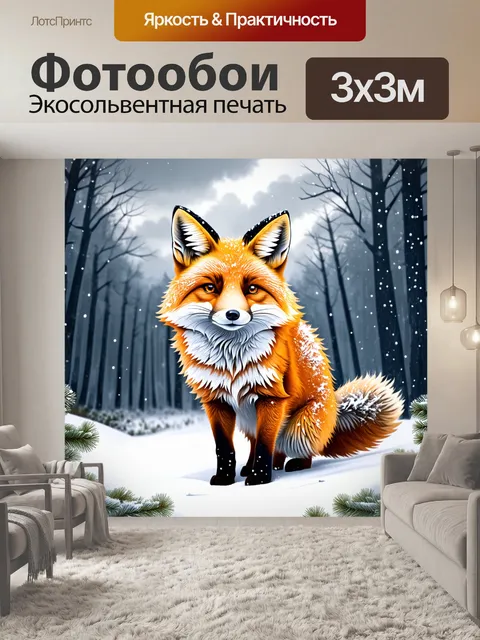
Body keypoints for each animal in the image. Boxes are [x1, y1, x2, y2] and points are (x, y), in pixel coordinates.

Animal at [159, 206, 403, 486]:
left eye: (252, 288)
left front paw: (259, 479)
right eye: (210, 287)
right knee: (261, 445)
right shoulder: (215, 400)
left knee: (289, 448)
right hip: (248, 420)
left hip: (298, 426)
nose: (232, 314)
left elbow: (266, 444)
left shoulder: (272, 397)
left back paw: (292, 465)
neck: (231, 361)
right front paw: (225, 478)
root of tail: (332, 415)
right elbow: (225, 448)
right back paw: (252, 468)